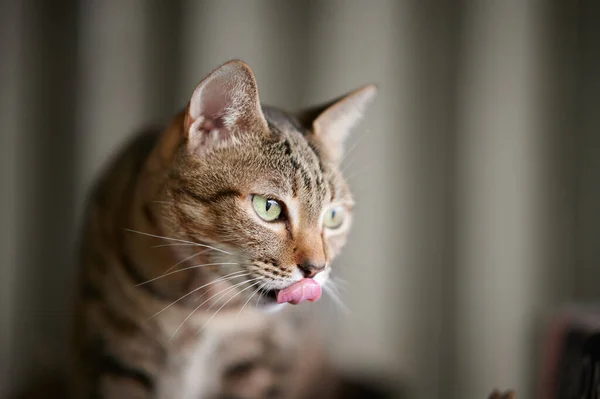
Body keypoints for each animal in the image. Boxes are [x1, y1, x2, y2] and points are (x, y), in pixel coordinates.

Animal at [70, 60, 376, 399]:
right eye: (268, 207)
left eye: (333, 217)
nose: (316, 269)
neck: (199, 308)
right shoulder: (113, 356)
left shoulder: (261, 364)